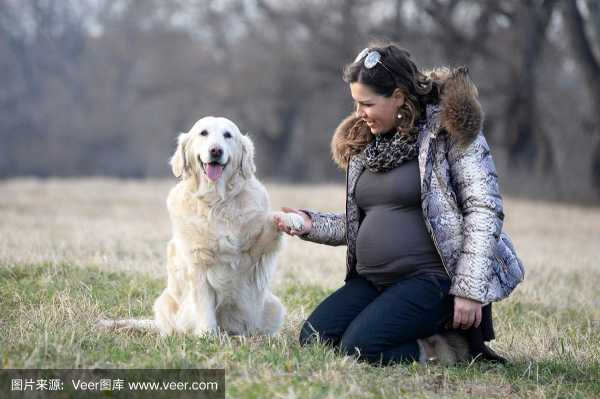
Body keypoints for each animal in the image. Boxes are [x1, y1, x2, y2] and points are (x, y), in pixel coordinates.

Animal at [99, 116, 304, 338]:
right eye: (203, 133)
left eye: (228, 135)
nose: (216, 151)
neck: (217, 201)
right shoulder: (198, 262)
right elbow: (203, 302)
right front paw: (207, 334)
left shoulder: (255, 252)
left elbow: (271, 221)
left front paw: (292, 218)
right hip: (165, 304)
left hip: (273, 306)